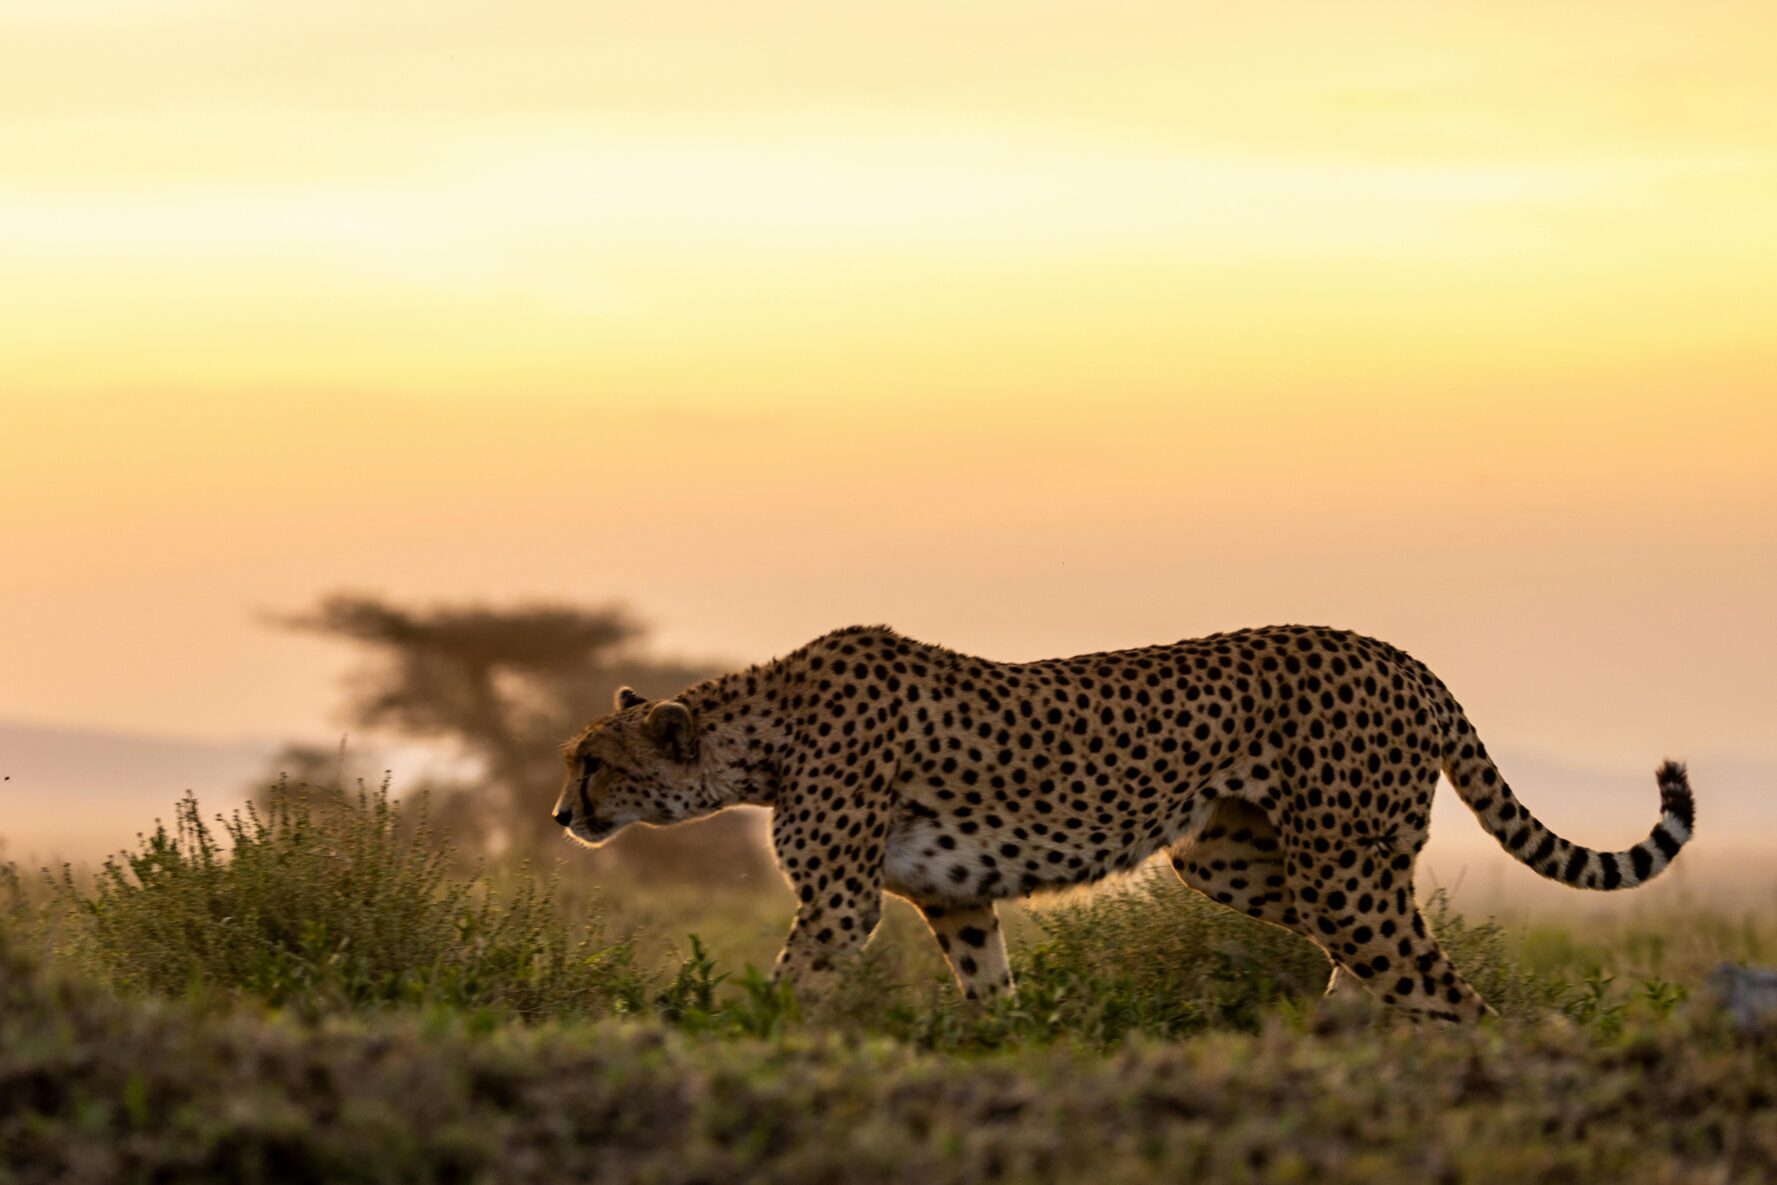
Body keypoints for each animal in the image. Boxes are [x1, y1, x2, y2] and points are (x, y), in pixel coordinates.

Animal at [553, 624, 1695, 1022]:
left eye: (593, 763)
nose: (562, 813)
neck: (761, 734)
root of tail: (1399, 654)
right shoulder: (951, 899)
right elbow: (991, 994)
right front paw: (1007, 1056)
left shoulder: (840, 903)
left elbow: (787, 986)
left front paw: (727, 1040)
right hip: (1235, 858)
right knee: (1389, 960)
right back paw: (1334, 1043)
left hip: (1334, 868)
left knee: (1445, 989)